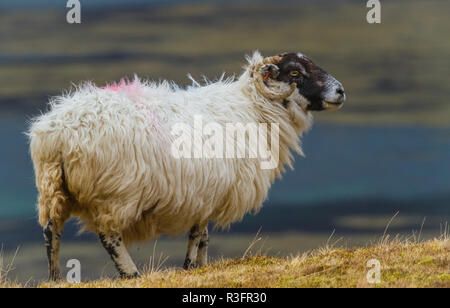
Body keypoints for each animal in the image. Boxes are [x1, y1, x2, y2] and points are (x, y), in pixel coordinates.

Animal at [28, 51, 344, 280]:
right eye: (295, 73)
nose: (340, 91)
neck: (252, 108)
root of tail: (58, 133)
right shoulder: (206, 193)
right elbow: (197, 235)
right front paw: (191, 267)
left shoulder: (206, 194)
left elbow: (203, 236)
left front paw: (201, 267)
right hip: (114, 193)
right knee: (109, 237)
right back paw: (131, 274)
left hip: (54, 190)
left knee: (51, 233)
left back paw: (55, 278)